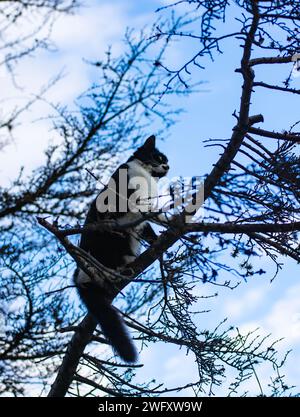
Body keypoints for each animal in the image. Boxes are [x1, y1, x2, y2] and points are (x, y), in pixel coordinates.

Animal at [73, 136, 169, 360]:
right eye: (158, 157)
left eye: (166, 161)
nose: (167, 166)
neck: (147, 176)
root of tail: (80, 275)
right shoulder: (131, 198)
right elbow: (147, 211)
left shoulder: (142, 222)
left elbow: (150, 227)